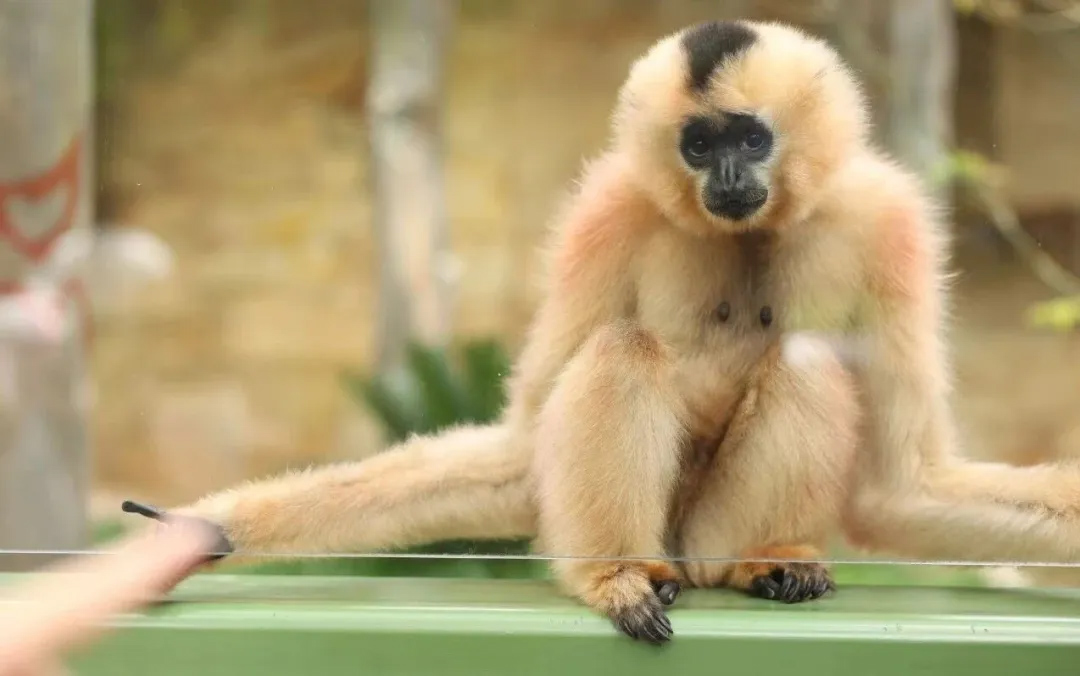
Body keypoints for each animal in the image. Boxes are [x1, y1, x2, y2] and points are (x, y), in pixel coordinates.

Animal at [124, 17, 1063, 645]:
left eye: (748, 136)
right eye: (698, 144)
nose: (726, 174)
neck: (746, 231)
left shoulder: (891, 223)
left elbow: (902, 485)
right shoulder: (606, 213)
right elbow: (520, 448)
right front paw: (213, 527)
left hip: (707, 533)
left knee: (808, 362)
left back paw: (765, 560)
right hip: (662, 527)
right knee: (622, 349)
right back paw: (615, 574)